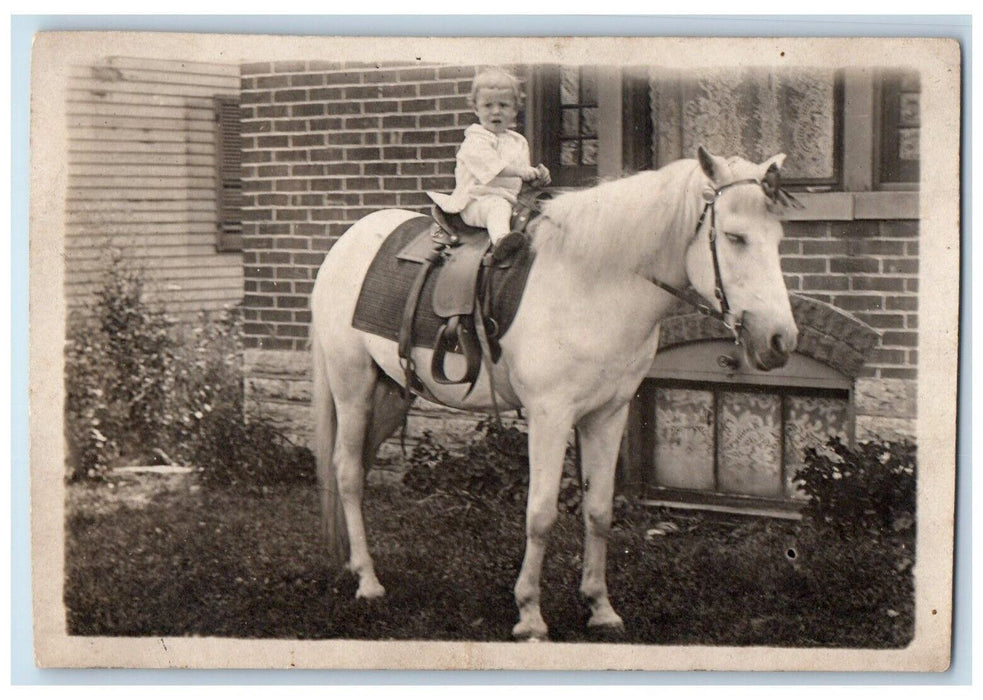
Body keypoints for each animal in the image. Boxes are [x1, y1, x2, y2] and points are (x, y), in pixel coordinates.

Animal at [312, 148, 804, 640]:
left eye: (779, 238)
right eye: (735, 237)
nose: (780, 341)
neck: (593, 283)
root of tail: (344, 245)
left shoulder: (608, 414)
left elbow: (599, 511)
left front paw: (600, 606)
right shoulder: (550, 416)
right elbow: (541, 515)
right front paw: (529, 615)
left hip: (392, 394)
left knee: (359, 466)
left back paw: (351, 563)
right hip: (353, 386)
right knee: (349, 473)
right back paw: (368, 581)